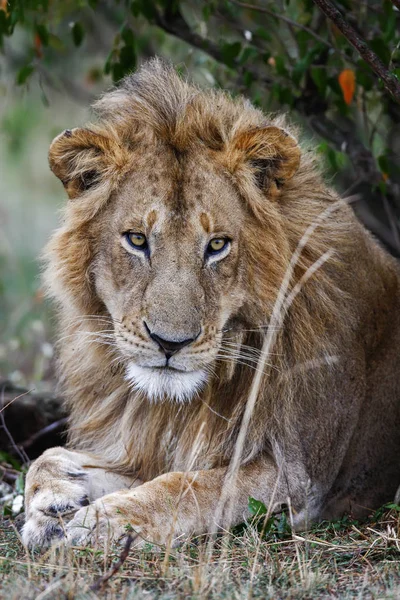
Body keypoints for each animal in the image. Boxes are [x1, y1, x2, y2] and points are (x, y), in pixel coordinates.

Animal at [21, 59, 400, 548]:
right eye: (137, 240)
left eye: (217, 245)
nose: (170, 343)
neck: (176, 404)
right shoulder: (145, 443)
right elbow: (47, 457)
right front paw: (52, 505)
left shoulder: (299, 478)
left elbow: (184, 488)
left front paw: (99, 523)